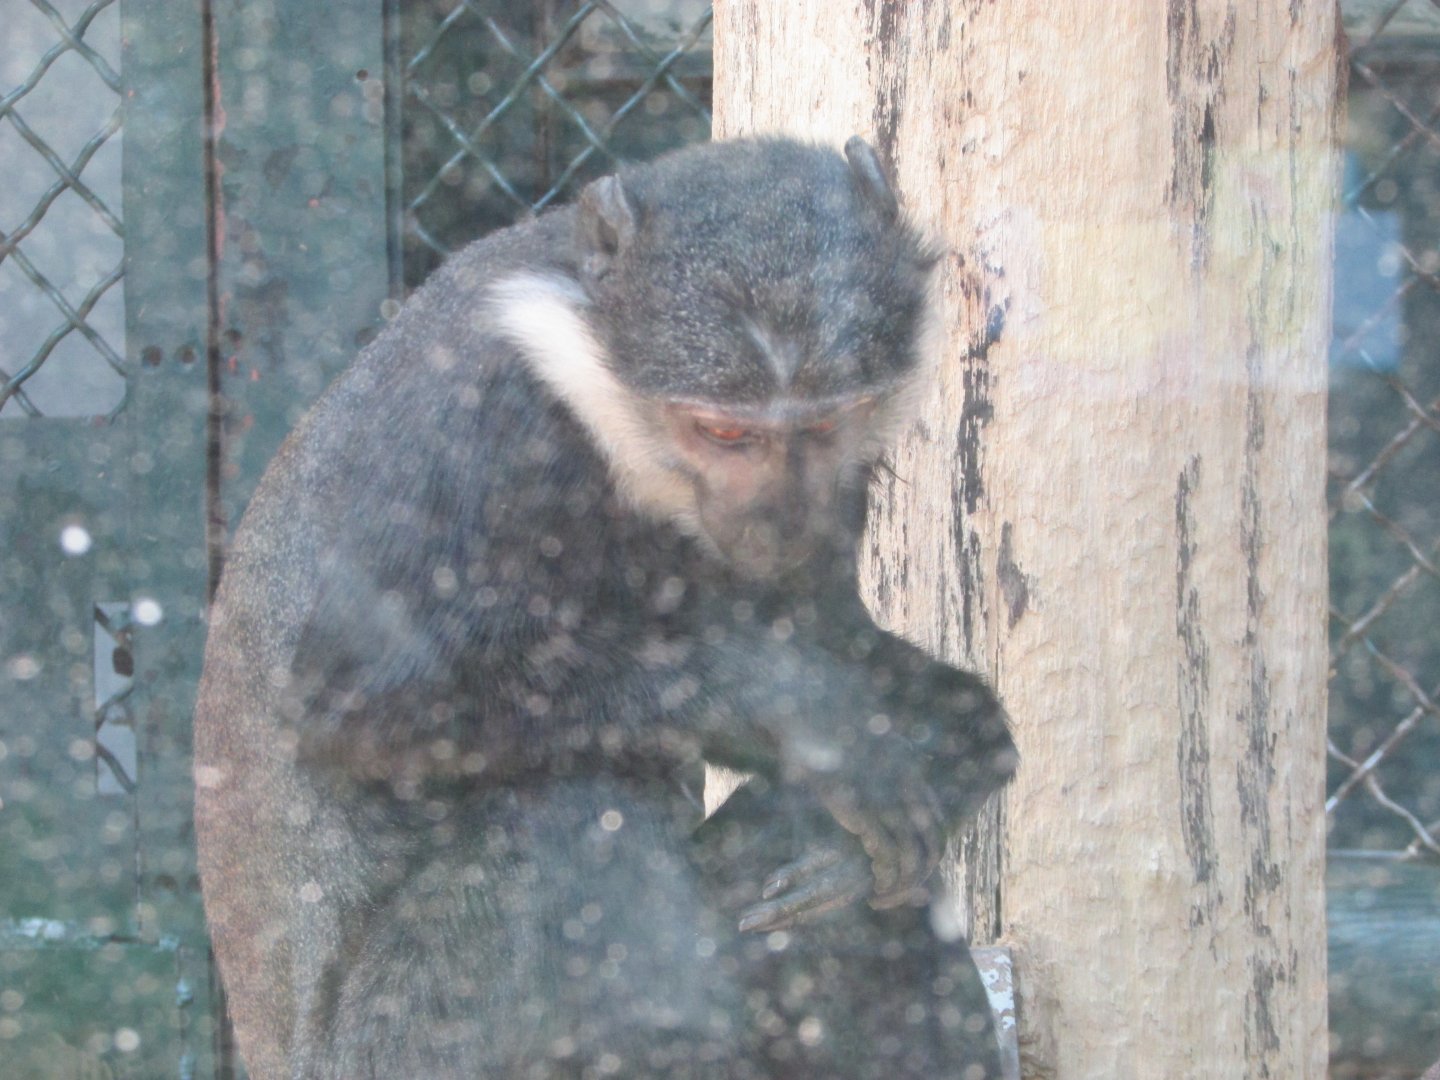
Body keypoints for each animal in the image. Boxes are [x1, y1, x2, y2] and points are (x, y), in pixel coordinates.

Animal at [194, 136, 1016, 1079]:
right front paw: (806, 713)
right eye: (723, 432)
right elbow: (363, 701)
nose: (777, 516)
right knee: (561, 814)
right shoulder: (474, 419)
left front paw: (946, 747)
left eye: (823, 426)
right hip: (400, 1043)